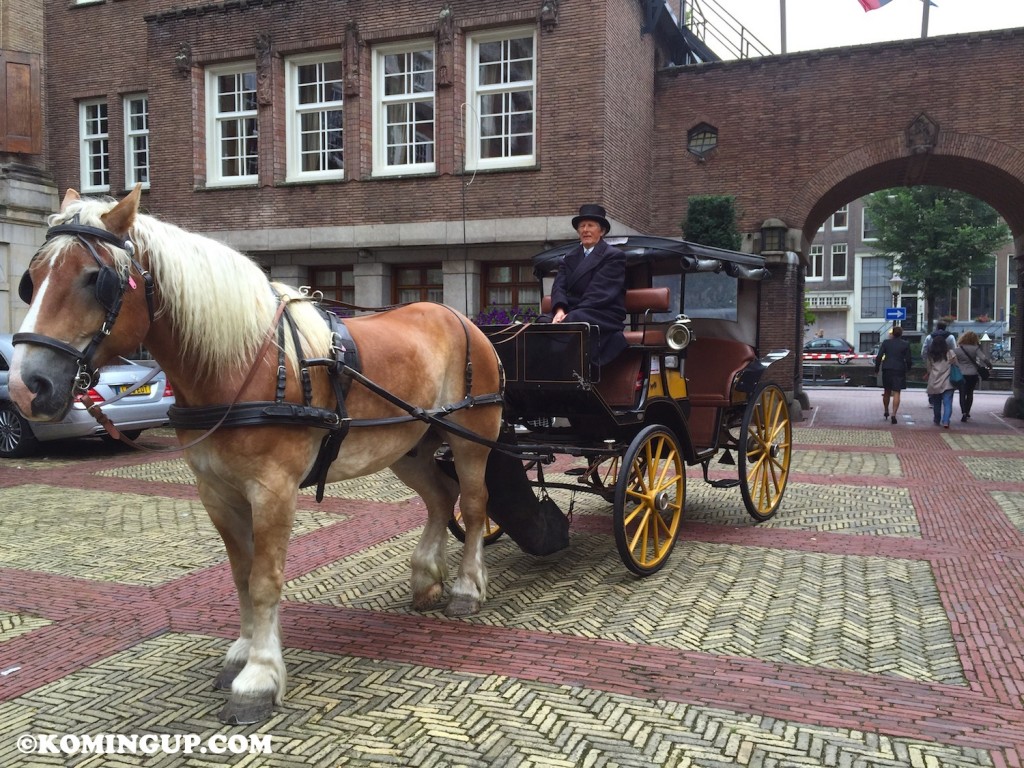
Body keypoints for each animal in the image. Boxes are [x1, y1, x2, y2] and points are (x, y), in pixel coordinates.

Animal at [7, 183, 503, 724]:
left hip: (470, 439)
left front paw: (260, 678)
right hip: (409, 446)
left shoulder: (273, 491)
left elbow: (266, 579)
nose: (26, 387)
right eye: (31, 281)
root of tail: (459, 318)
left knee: (473, 504)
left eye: (96, 279)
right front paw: (242, 654)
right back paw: (426, 580)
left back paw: (466, 589)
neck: (245, 364)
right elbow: (241, 575)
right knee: (439, 499)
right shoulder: (217, 493)